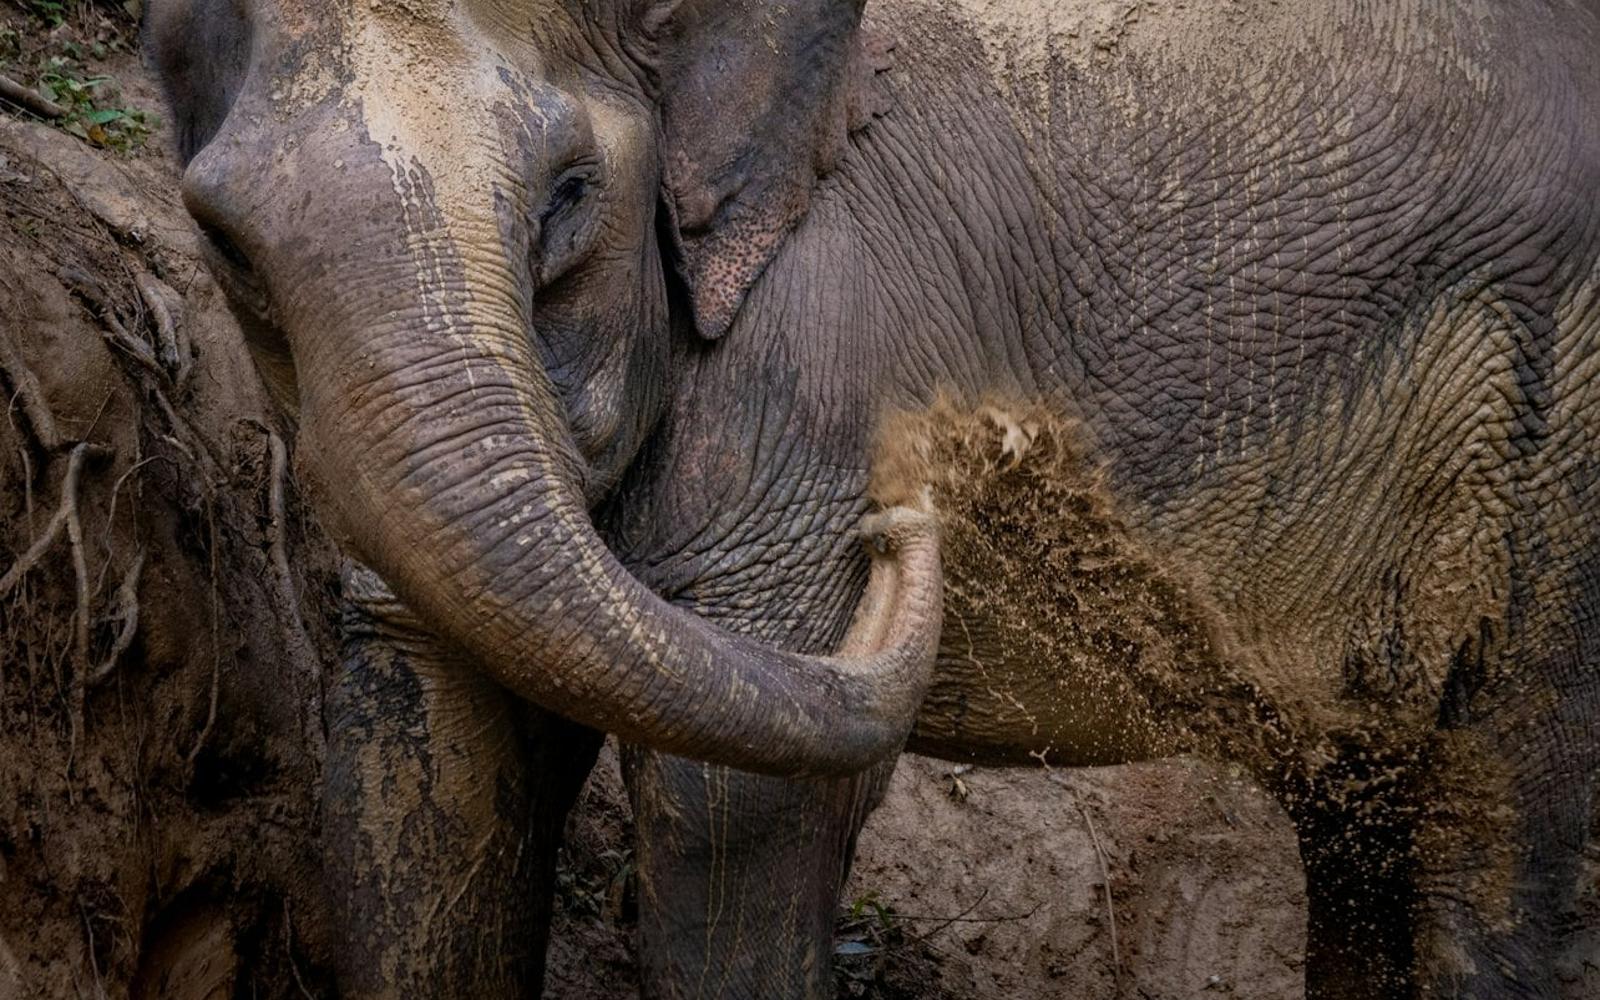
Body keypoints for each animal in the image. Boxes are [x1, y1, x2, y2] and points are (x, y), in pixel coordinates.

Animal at [142, 0, 1600, 997]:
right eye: (222, 243)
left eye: (568, 196)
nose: (908, 511)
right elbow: (426, 767)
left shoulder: (809, 364)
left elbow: (724, 809)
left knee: (1494, 837)